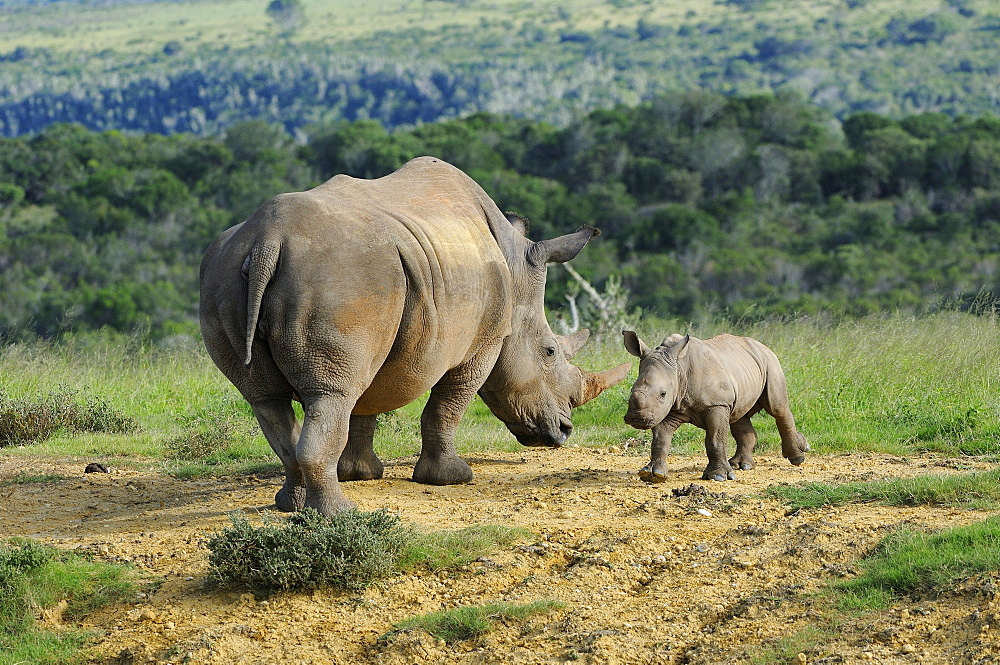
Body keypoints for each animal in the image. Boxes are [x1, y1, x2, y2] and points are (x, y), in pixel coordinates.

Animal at [199, 154, 628, 512]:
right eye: (550, 351)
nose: (564, 431)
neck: (514, 265)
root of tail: (266, 240)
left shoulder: (377, 338)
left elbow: (364, 405)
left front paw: (361, 473)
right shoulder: (484, 342)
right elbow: (448, 405)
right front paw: (452, 478)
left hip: (229, 270)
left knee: (268, 399)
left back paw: (291, 504)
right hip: (342, 276)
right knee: (331, 394)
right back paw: (337, 514)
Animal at [620, 330, 808, 482]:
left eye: (663, 393)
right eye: (632, 390)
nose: (636, 419)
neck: (679, 368)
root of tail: (762, 345)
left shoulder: (716, 404)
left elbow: (715, 440)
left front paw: (718, 477)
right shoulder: (670, 406)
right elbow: (661, 438)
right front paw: (653, 474)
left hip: (770, 362)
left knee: (777, 408)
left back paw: (798, 457)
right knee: (739, 416)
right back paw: (741, 465)